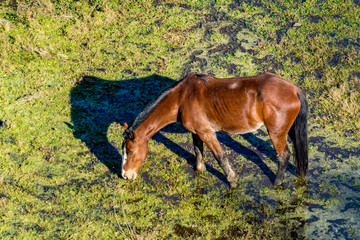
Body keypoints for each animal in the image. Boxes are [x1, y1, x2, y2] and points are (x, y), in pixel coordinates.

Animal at [122, 72, 308, 188]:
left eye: (130, 152)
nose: (125, 175)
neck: (181, 98)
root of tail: (295, 90)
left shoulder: (207, 132)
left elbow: (220, 156)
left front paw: (232, 181)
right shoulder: (196, 131)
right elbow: (198, 150)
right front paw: (200, 170)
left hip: (276, 133)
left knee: (283, 155)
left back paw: (277, 183)